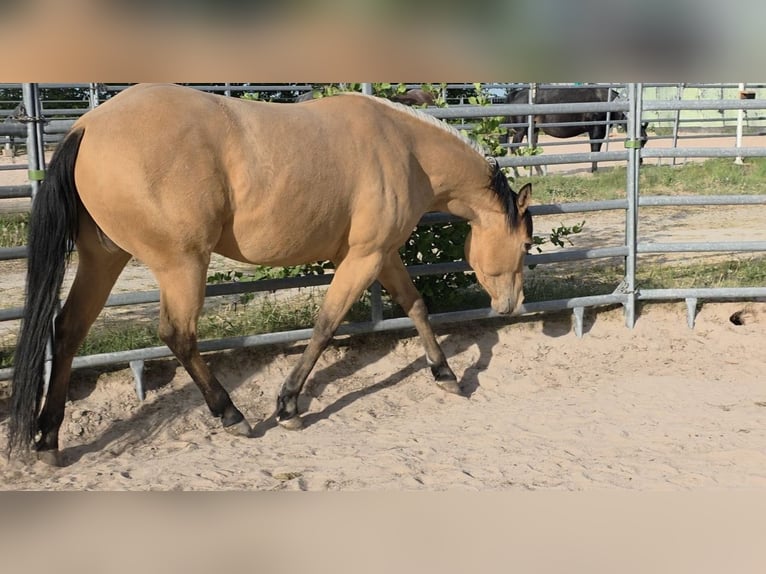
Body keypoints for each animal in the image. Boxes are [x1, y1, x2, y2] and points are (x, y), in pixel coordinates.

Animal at [8, 83, 533, 465]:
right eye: (527, 244)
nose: (511, 306)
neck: (405, 148)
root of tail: (87, 126)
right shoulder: (363, 258)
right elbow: (326, 325)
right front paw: (288, 406)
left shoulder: (382, 255)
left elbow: (417, 307)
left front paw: (446, 375)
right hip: (182, 264)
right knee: (178, 335)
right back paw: (232, 415)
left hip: (104, 258)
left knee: (68, 330)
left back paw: (48, 440)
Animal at [503, 85, 649, 173]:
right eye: (641, 140)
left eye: (645, 141)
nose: (640, 162)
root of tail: (515, 94)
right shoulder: (597, 130)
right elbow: (595, 148)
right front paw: (594, 170)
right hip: (521, 130)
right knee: (514, 148)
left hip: (533, 130)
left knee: (532, 150)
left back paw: (540, 173)